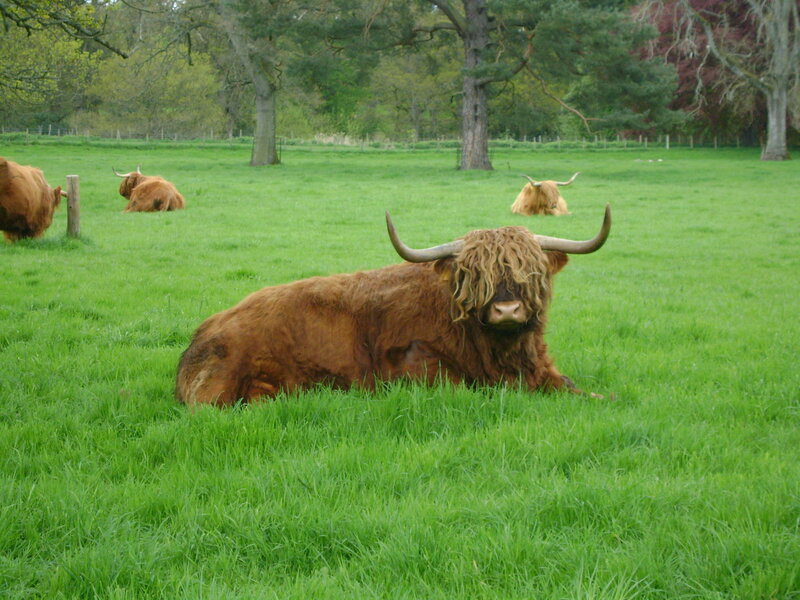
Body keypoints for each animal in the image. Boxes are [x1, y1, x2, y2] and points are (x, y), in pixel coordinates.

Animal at [175, 205, 611, 406]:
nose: (507, 311)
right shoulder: (416, 369)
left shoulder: (544, 372)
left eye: (529, 272)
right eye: (473, 275)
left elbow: (584, 391)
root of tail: (204, 332)